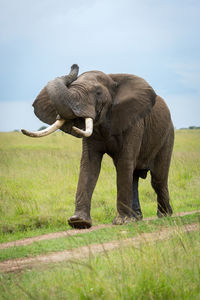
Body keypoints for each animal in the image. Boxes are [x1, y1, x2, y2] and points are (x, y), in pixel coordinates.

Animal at [21, 64, 173, 229]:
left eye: (98, 93)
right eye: (70, 87)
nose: (74, 65)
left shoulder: (134, 122)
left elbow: (124, 162)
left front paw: (121, 222)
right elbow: (89, 164)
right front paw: (78, 222)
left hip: (167, 136)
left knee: (157, 178)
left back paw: (164, 215)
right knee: (134, 177)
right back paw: (137, 218)